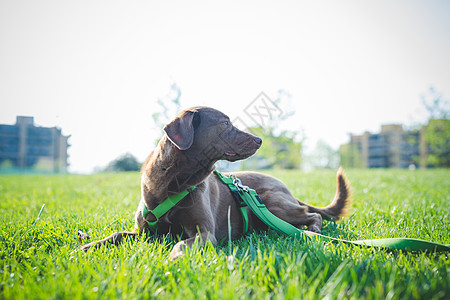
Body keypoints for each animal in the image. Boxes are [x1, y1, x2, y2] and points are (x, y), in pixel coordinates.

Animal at [79, 106, 350, 258]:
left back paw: (312, 231)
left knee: (311, 215)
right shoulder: (143, 232)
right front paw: (84, 248)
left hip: (273, 203)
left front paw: (173, 258)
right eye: (225, 123)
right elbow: (115, 235)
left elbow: (181, 244)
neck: (175, 183)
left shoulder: (204, 232)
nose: (260, 140)